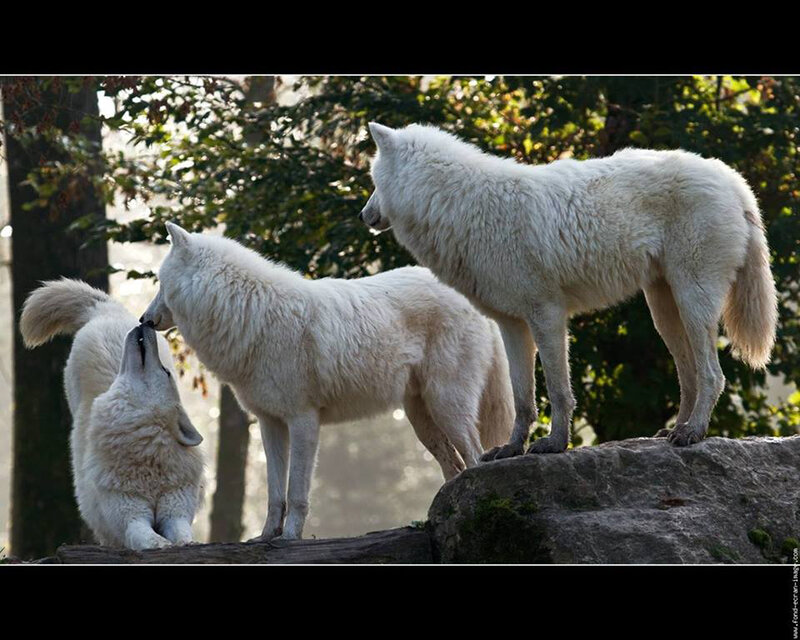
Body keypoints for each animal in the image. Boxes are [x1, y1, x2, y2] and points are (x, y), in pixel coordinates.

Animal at [20, 279, 204, 549]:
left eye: (166, 371)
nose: (145, 324)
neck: (147, 454)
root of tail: (106, 308)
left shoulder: (176, 510)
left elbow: (182, 533)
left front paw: (186, 544)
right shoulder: (131, 517)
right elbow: (147, 536)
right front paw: (161, 544)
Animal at [141, 222, 514, 540]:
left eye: (159, 282)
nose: (144, 319)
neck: (250, 314)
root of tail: (468, 297)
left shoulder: (303, 420)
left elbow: (297, 491)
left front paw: (289, 538)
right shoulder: (269, 423)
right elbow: (275, 493)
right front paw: (265, 537)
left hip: (447, 405)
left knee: (475, 457)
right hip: (422, 420)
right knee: (454, 465)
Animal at [361, 123, 778, 457]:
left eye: (373, 182)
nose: (364, 216)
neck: (459, 206)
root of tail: (733, 179)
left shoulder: (547, 315)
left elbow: (558, 391)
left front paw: (554, 444)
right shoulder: (511, 325)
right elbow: (523, 399)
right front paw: (512, 448)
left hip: (692, 302)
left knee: (712, 375)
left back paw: (693, 432)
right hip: (664, 313)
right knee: (688, 375)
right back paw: (675, 429)